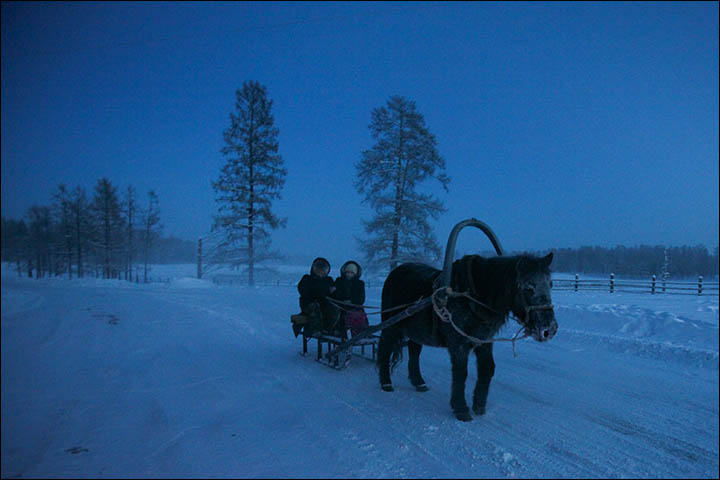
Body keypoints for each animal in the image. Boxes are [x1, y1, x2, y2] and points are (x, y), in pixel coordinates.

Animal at [376, 253, 556, 422]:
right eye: (528, 287)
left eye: (550, 285)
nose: (550, 329)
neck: (473, 297)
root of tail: (396, 271)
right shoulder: (458, 343)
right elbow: (461, 373)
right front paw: (461, 408)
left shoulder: (484, 340)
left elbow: (487, 369)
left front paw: (479, 405)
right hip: (390, 325)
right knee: (385, 348)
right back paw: (386, 383)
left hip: (417, 331)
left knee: (414, 351)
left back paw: (418, 381)